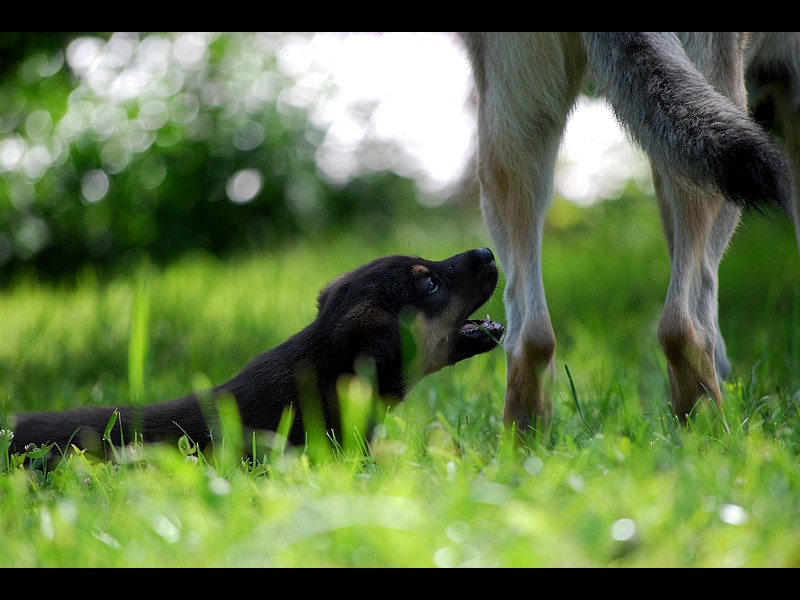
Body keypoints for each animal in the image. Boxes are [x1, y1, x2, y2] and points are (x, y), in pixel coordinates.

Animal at [462, 32, 800, 434]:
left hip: (513, 137)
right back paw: (714, 438)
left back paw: (524, 444)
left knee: (531, 337)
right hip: (718, 137)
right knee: (682, 325)